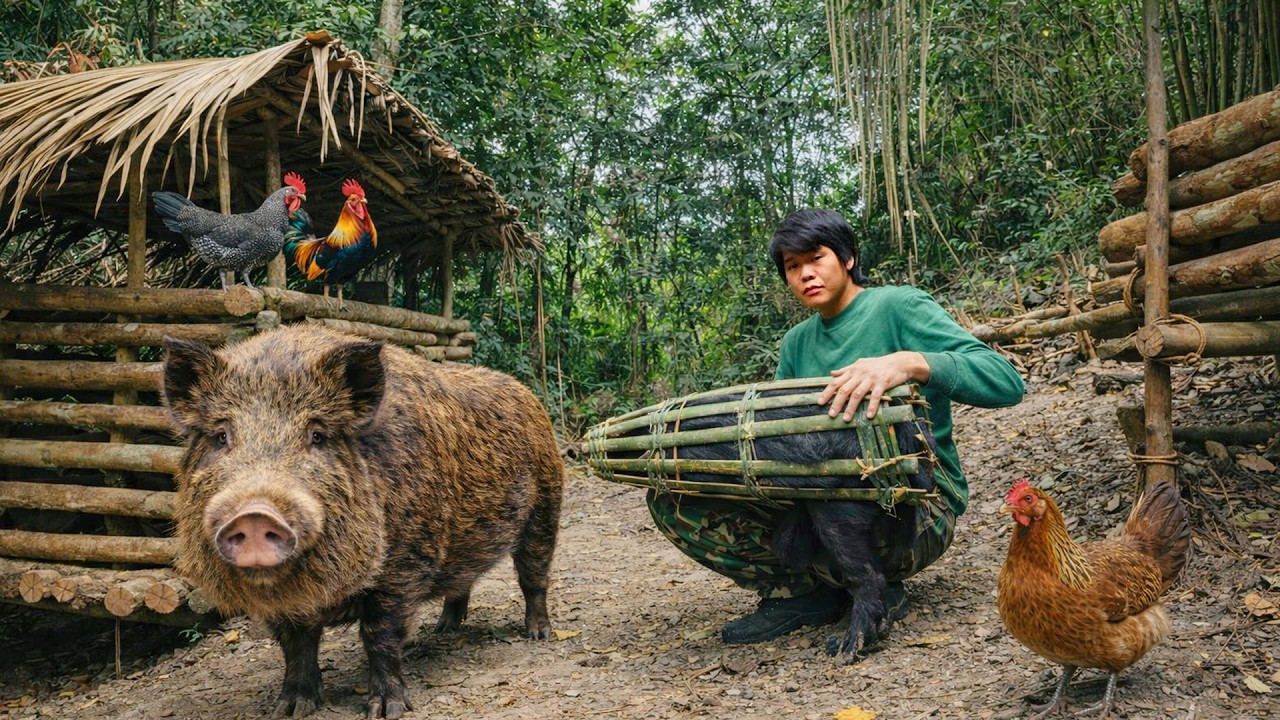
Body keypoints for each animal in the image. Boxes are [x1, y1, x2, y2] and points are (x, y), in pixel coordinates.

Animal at [161, 325, 563, 719]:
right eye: (221, 436)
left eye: (318, 435)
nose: (255, 512)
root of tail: (528, 396)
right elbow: (295, 647)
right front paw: (290, 710)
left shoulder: (404, 564)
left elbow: (380, 635)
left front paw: (387, 711)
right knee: (461, 582)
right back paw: (444, 630)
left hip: (546, 506)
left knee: (534, 577)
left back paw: (538, 634)